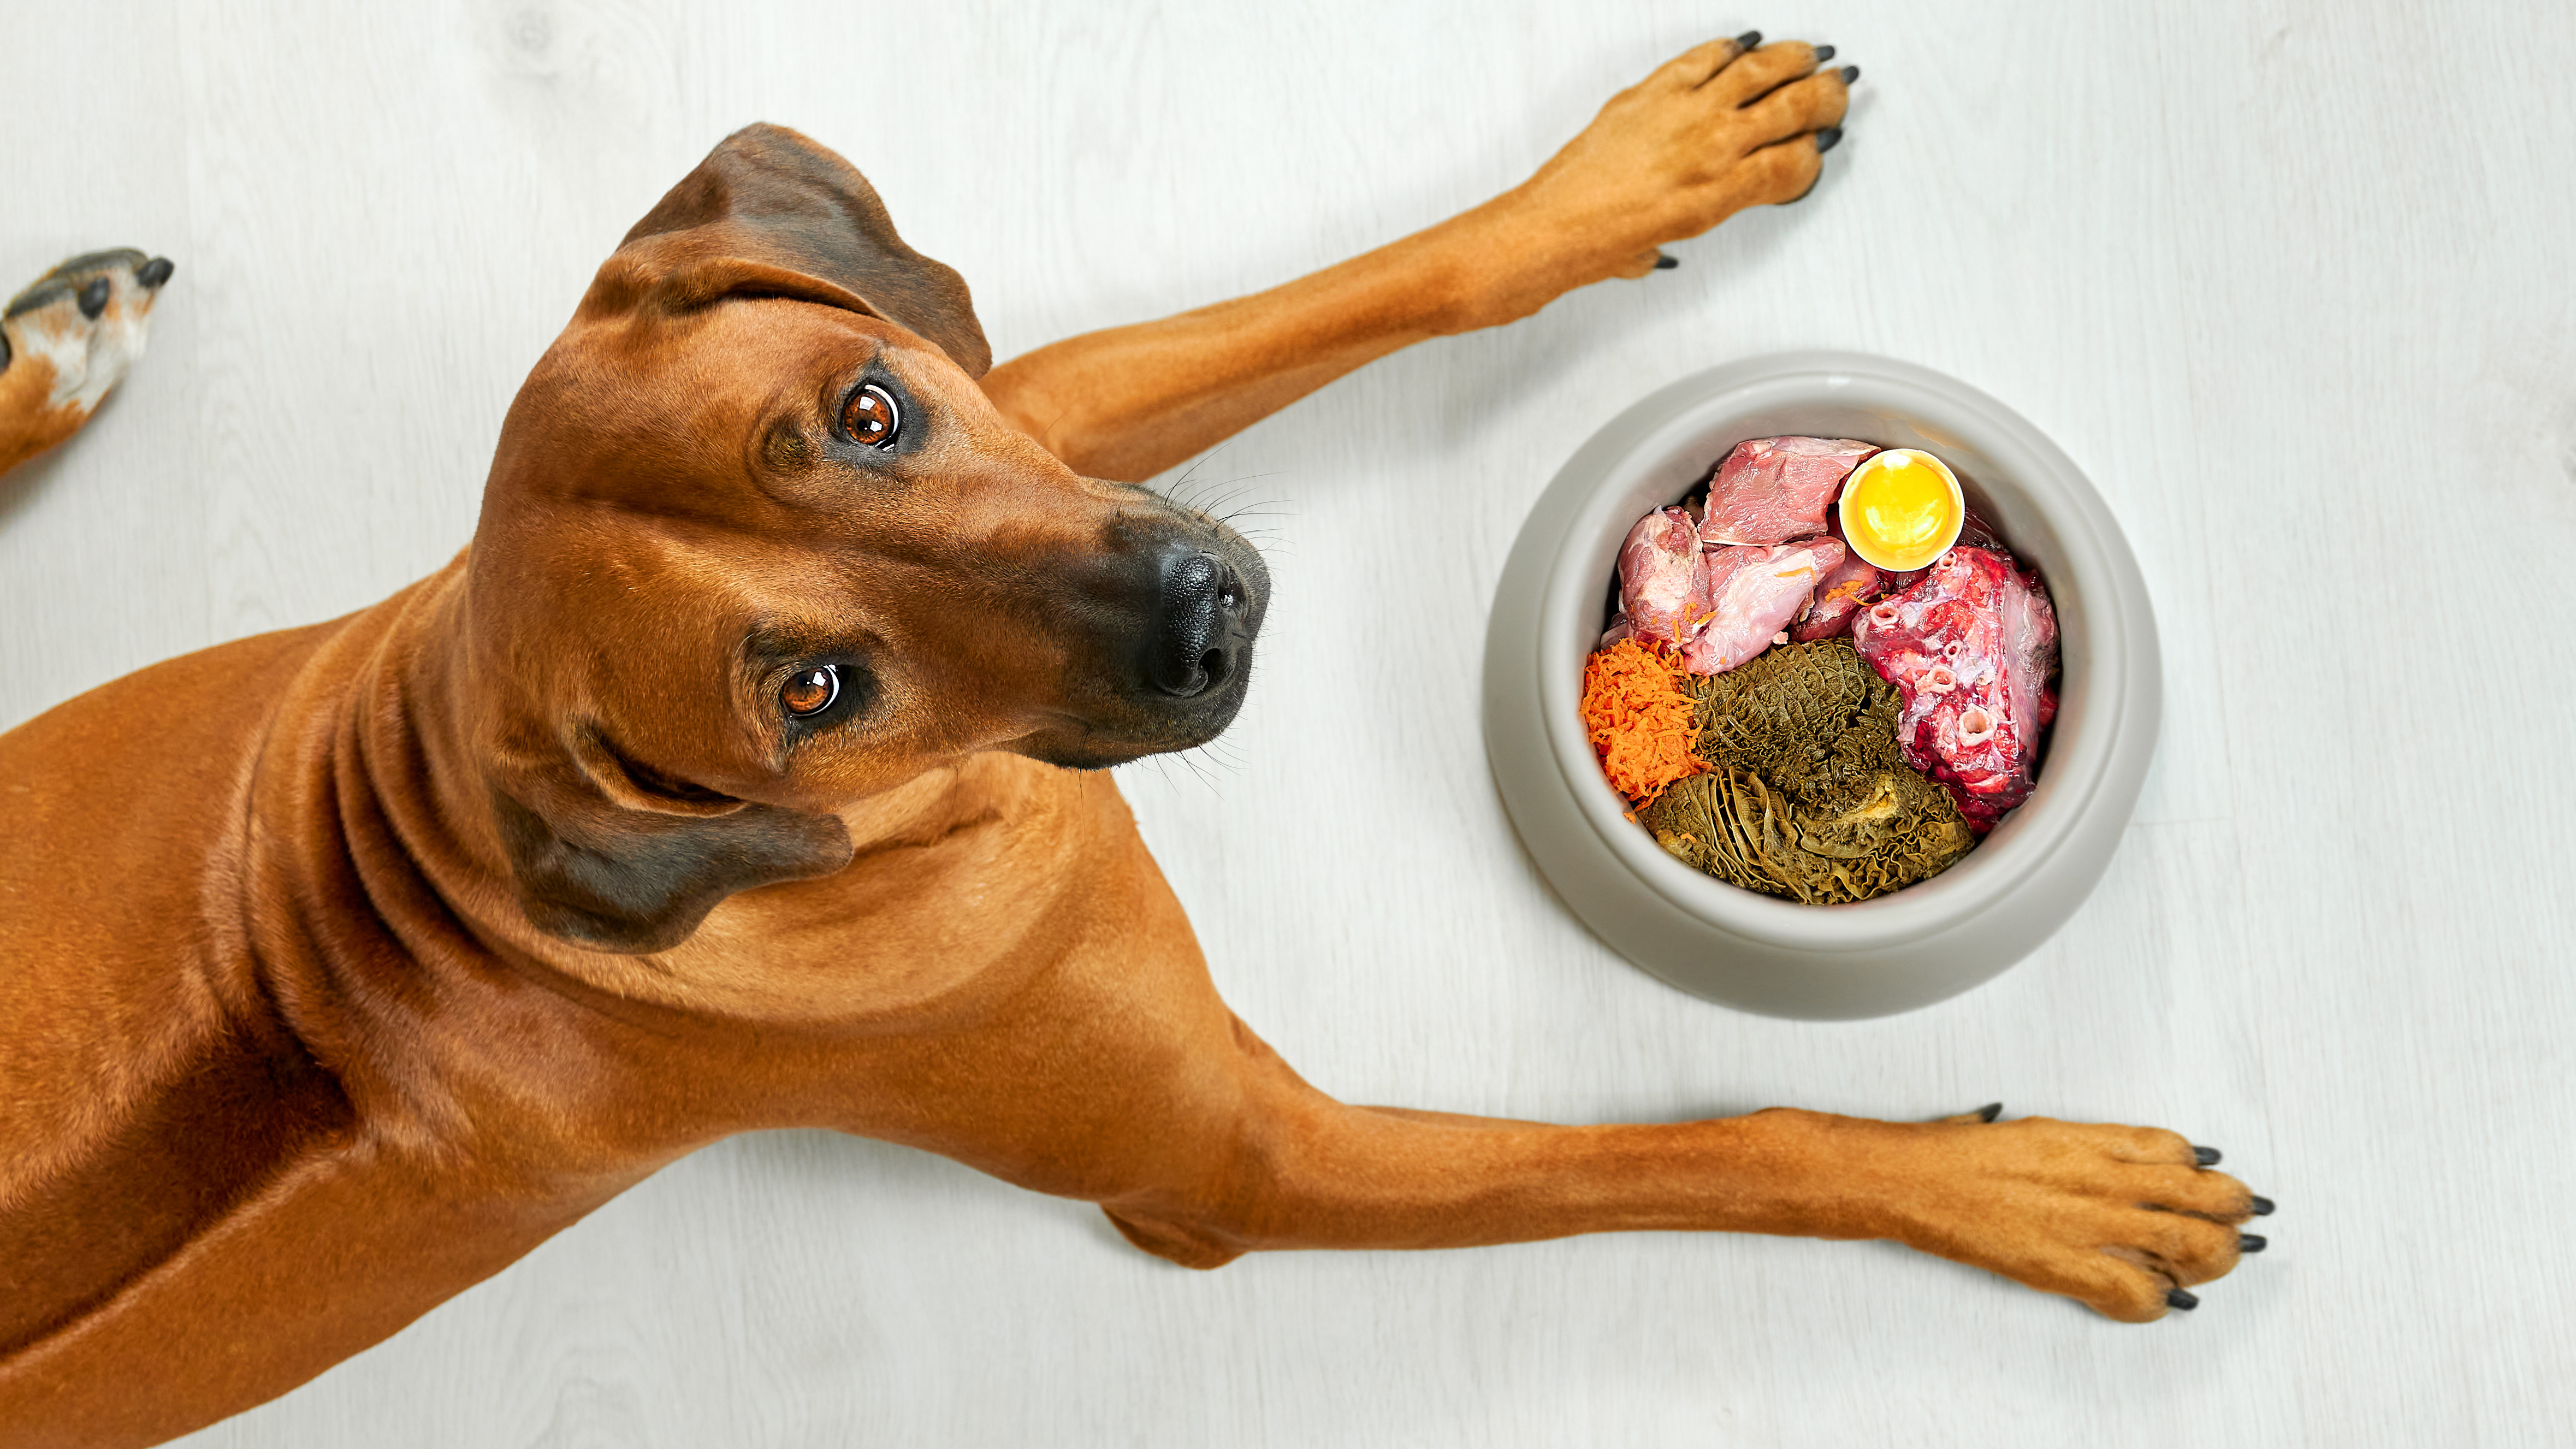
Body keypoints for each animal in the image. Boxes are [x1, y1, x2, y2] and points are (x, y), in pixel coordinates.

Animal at [0, 37, 2266, 1444]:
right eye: (807, 691)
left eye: (865, 414)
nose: (1203, 616)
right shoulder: (1233, 1168)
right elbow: (1712, 1150)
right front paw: (2026, 1192)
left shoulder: (1040, 407)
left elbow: (1352, 291)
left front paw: (1634, 171)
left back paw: (51, 350)